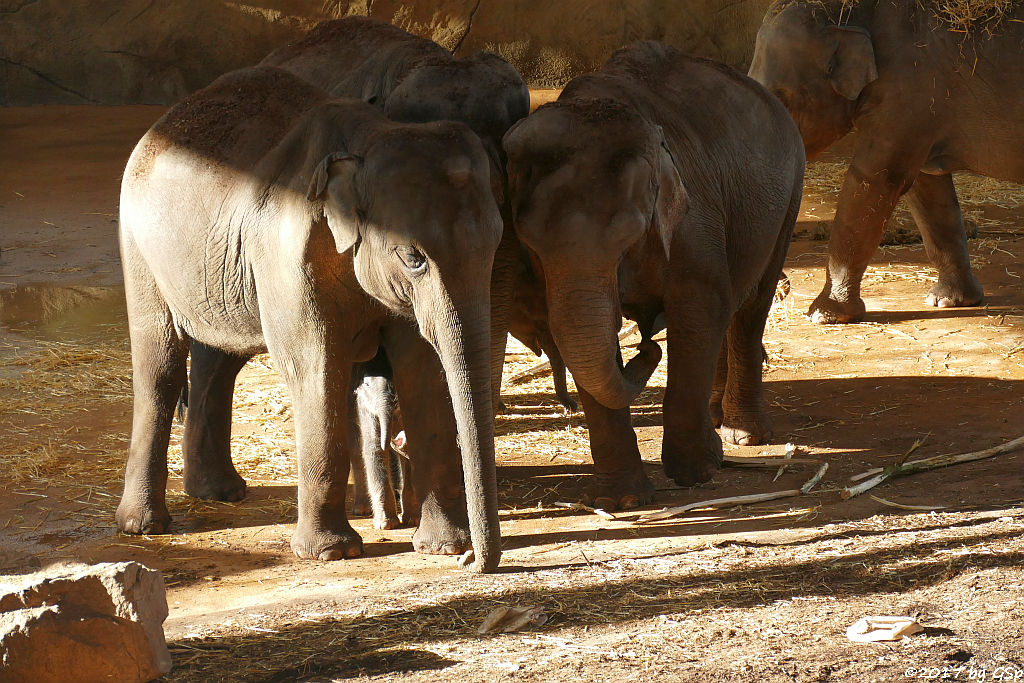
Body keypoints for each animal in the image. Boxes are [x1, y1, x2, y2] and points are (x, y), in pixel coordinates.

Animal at [116, 68, 503, 573]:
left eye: (496, 244)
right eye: (413, 258)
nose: (473, 561)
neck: (372, 137)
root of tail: (163, 122)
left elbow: (422, 369)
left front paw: (443, 547)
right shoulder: (287, 256)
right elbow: (316, 369)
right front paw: (333, 552)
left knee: (219, 359)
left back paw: (219, 493)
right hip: (139, 249)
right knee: (159, 364)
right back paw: (143, 525)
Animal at [503, 40, 806, 505]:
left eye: (630, 235)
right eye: (529, 243)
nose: (647, 349)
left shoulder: (693, 222)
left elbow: (700, 310)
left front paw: (699, 472)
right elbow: (585, 339)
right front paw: (622, 500)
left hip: (789, 198)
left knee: (750, 306)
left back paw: (743, 435)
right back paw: (717, 418)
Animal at [745, 0, 1024, 325]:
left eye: (781, 98)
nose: (783, 290)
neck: (845, 13)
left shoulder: (907, 90)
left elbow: (873, 181)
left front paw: (824, 315)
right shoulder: (923, 109)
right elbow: (926, 189)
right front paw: (948, 301)